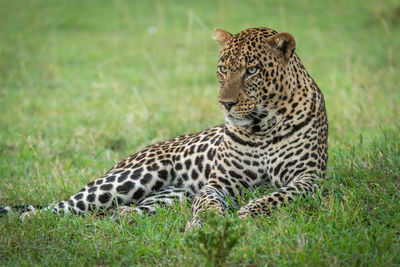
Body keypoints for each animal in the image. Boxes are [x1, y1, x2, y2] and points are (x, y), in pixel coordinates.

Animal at [0, 27, 328, 232]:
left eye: (252, 70)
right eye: (223, 69)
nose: (225, 103)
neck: (262, 127)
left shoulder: (309, 178)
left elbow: (279, 195)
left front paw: (250, 211)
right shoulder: (219, 182)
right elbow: (207, 202)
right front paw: (206, 222)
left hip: (170, 196)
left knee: (119, 210)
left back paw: (124, 217)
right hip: (128, 179)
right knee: (56, 208)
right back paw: (27, 221)